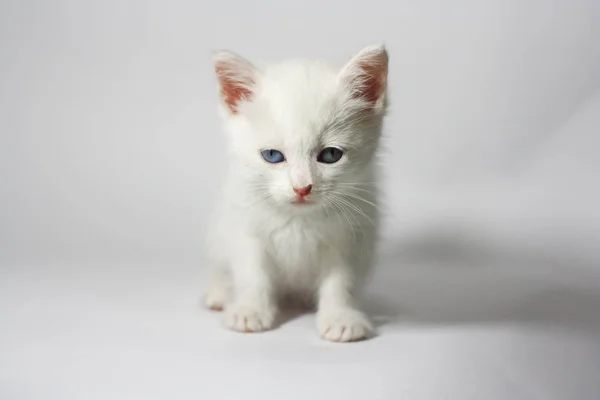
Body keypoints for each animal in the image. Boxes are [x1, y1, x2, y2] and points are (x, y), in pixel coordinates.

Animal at [203, 45, 390, 342]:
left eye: (330, 155)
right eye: (272, 155)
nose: (302, 187)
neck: (298, 219)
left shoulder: (353, 235)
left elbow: (342, 280)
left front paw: (341, 317)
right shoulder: (244, 227)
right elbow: (252, 272)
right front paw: (250, 310)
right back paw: (220, 293)